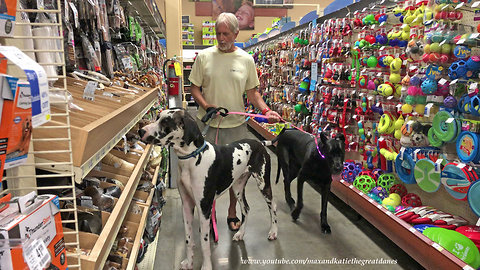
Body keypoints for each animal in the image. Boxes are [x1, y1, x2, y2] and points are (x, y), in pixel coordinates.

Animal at [139, 108, 278, 270]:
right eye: (157, 117)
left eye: (166, 122)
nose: (141, 130)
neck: (192, 158)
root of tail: (259, 142)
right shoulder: (187, 205)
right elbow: (188, 239)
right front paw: (189, 262)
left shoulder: (204, 208)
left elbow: (204, 242)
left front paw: (206, 266)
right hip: (237, 187)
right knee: (246, 209)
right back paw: (240, 234)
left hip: (263, 184)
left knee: (273, 207)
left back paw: (273, 232)